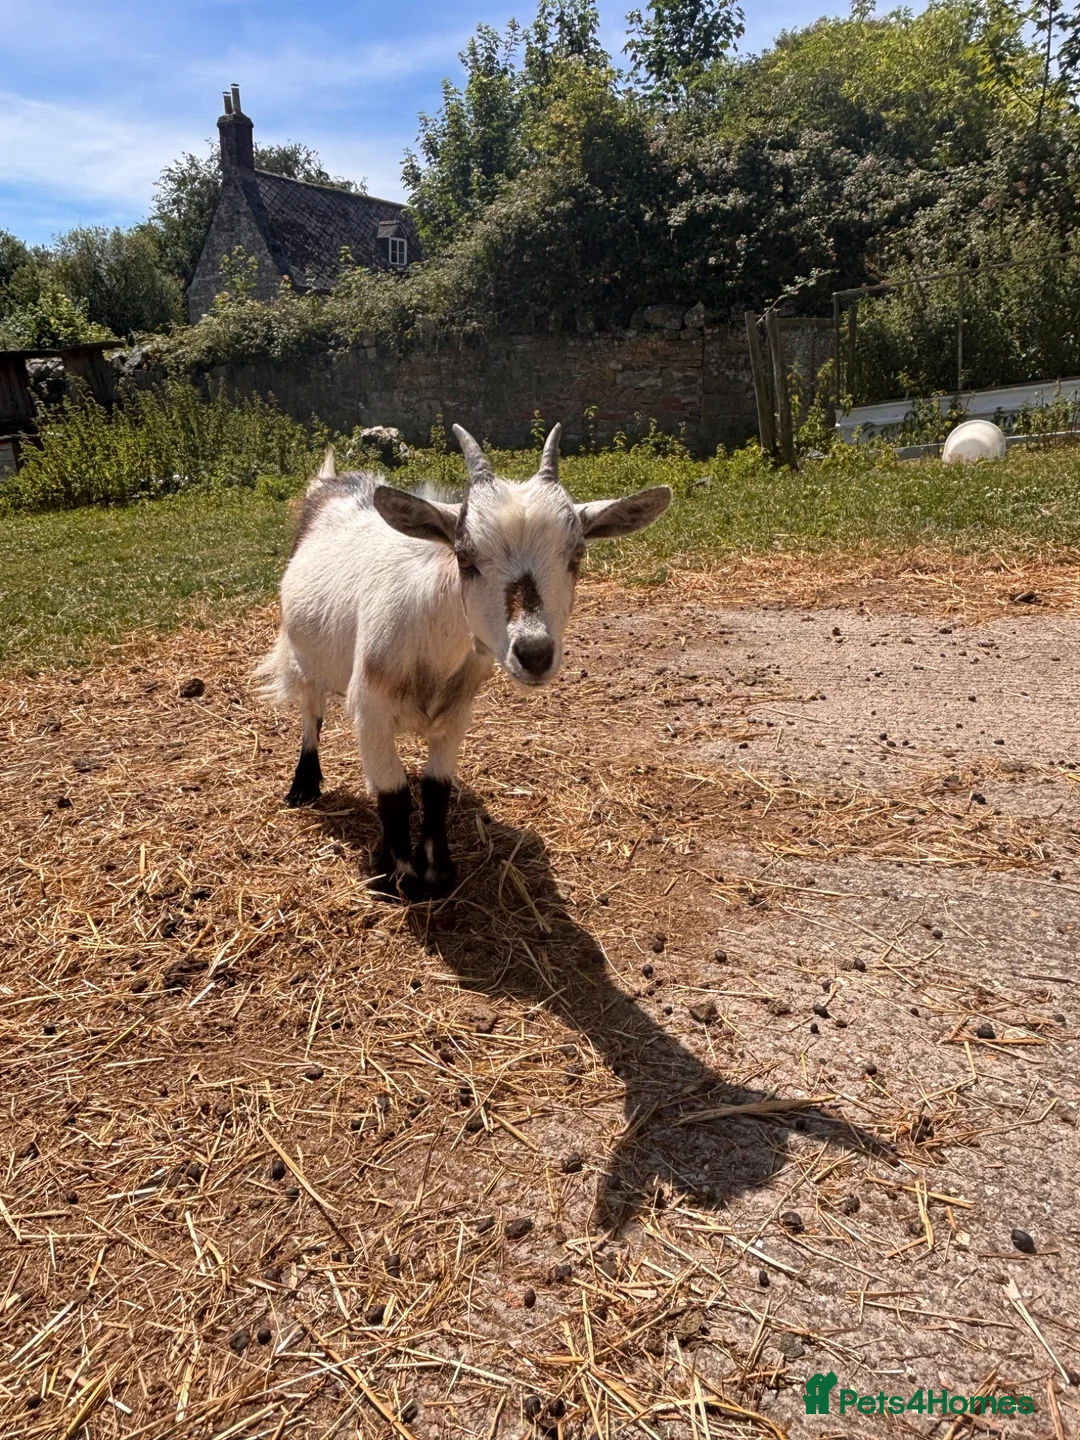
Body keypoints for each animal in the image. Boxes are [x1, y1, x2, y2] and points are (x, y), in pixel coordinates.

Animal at [256, 424, 671, 900]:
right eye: (465, 556)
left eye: (577, 555)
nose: (534, 653)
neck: (432, 654)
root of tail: (331, 483)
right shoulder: (370, 711)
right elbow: (393, 792)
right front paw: (404, 877)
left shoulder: (457, 713)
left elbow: (435, 790)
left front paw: (439, 871)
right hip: (303, 654)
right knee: (311, 712)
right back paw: (303, 785)